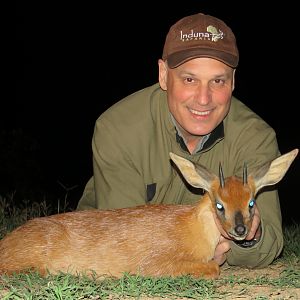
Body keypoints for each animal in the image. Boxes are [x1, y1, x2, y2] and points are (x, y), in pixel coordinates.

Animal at [0, 149, 296, 278]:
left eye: (251, 202)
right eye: (219, 204)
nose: (241, 230)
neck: (193, 229)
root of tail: (5, 243)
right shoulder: (154, 263)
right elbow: (213, 267)